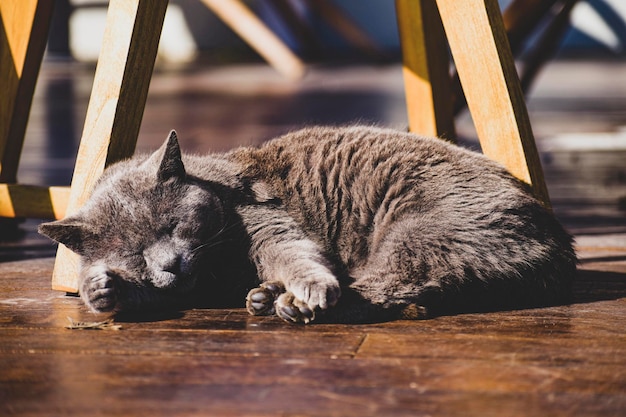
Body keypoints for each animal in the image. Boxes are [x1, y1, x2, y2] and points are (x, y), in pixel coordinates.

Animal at [39, 125, 576, 324]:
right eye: (133, 252)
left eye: (172, 225)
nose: (168, 262)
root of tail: (558, 241)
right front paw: (101, 289)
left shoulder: (267, 224)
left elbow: (296, 253)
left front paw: (310, 287)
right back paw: (265, 297)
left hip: (420, 232)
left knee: (390, 286)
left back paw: (289, 302)